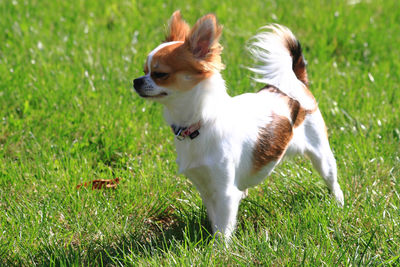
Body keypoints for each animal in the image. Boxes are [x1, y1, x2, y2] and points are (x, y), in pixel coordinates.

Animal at [134, 11, 344, 241]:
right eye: (144, 70)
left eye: (160, 74)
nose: (136, 81)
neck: (200, 123)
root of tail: (296, 82)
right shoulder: (206, 189)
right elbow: (216, 221)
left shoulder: (225, 192)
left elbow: (224, 228)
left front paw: (219, 248)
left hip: (321, 155)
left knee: (333, 181)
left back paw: (338, 204)